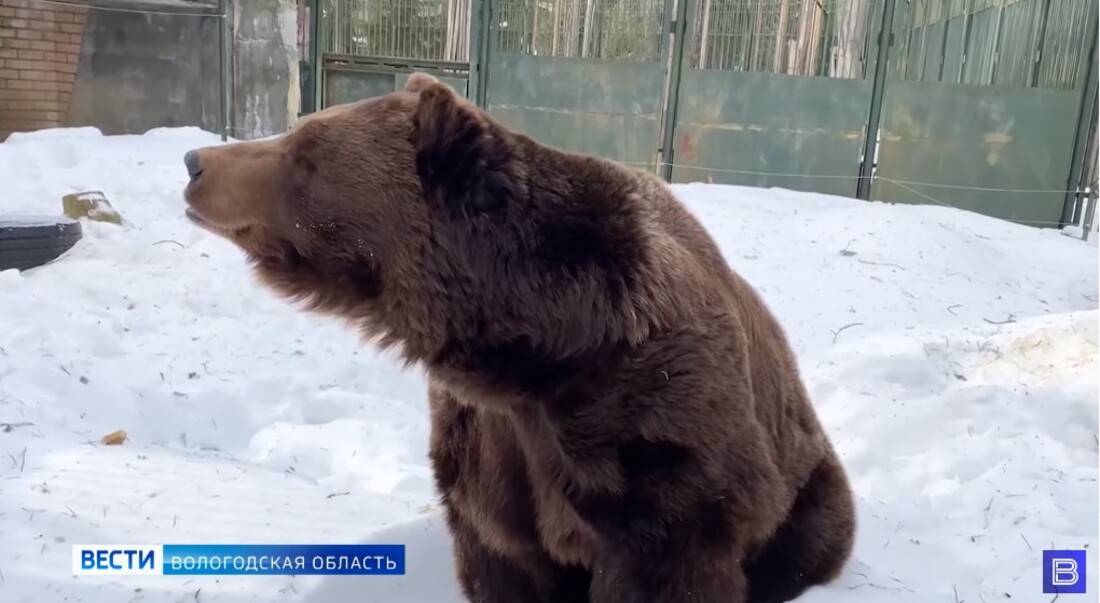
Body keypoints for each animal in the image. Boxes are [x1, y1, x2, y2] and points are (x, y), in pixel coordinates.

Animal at [180, 72, 853, 603]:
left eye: (304, 151)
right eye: (298, 133)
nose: (195, 161)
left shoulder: (653, 420)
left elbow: (669, 550)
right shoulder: (492, 439)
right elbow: (502, 551)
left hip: (810, 483)